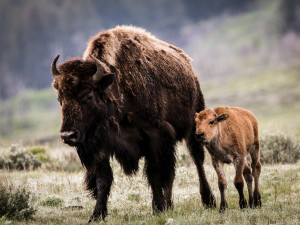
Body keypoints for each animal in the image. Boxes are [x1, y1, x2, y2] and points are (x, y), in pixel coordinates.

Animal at [51, 25, 216, 221]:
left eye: (89, 96)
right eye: (60, 99)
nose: (68, 135)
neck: (114, 90)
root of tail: (187, 65)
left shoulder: (156, 137)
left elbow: (154, 175)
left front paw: (157, 209)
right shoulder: (100, 145)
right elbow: (103, 179)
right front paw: (97, 215)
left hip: (193, 127)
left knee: (197, 160)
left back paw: (208, 201)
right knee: (172, 172)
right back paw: (170, 204)